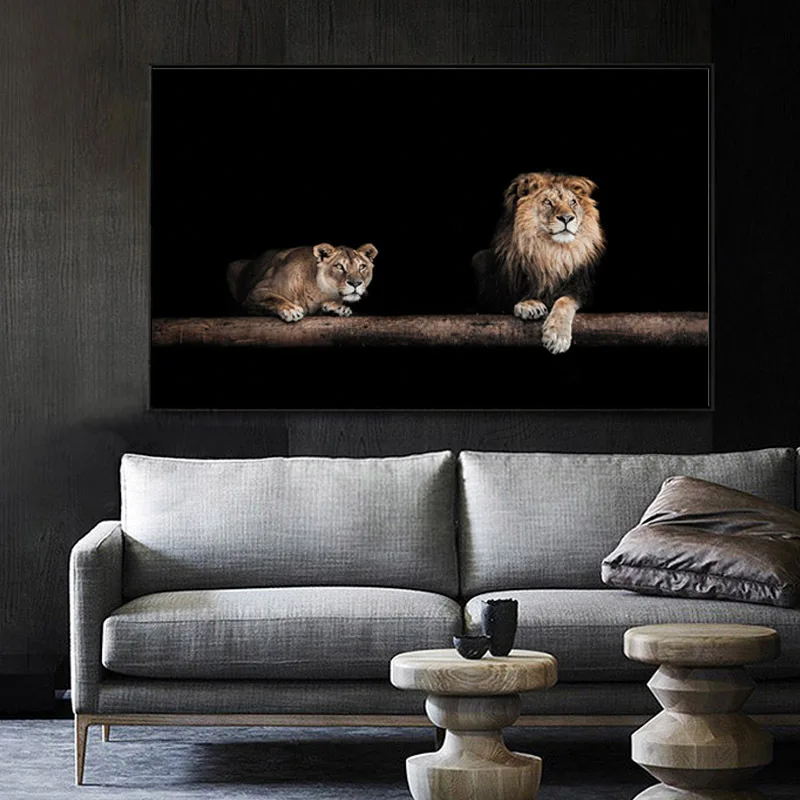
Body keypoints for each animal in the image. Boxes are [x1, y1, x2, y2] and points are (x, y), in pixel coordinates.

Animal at [226, 243, 377, 322]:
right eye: (339, 266)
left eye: (362, 266)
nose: (356, 283)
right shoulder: (255, 293)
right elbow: (273, 298)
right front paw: (290, 309)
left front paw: (336, 308)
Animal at [472, 171, 605, 354]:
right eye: (547, 202)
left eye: (573, 202)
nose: (567, 218)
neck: (550, 252)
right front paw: (529, 305)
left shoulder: (582, 289)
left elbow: (565, 301)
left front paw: (557, 336)